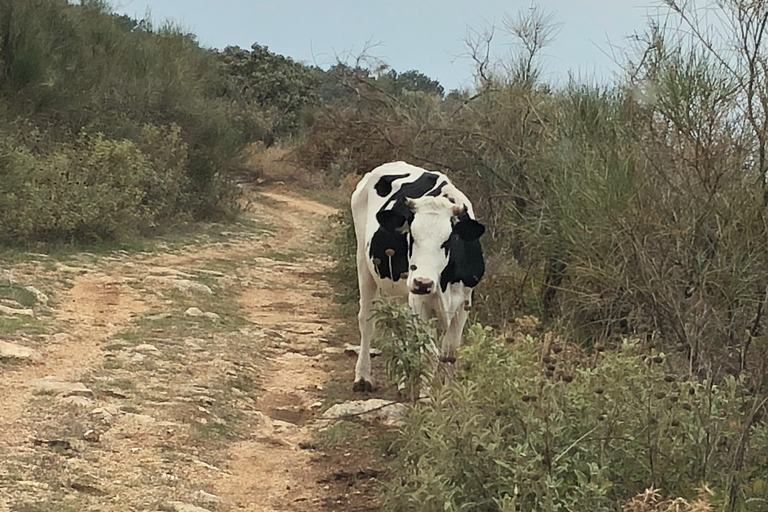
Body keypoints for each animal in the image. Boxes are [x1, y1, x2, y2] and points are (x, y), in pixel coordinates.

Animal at [350, 162, 484, 390]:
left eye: (448, 240)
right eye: (411, 236)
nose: (423, 283)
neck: (444, 283)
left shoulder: (464, 302)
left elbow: (450, 352)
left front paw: (448, 393)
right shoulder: (420, 301)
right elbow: (429, 353)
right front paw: (426, 395)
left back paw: (403, 383)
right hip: (364, 263)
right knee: (366, 321)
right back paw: (363, 377)